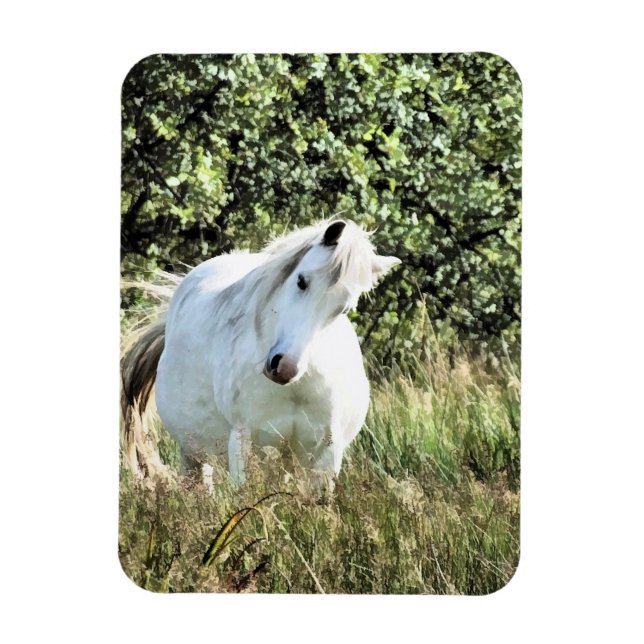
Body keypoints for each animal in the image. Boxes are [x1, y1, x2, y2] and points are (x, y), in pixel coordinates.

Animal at [121, 219, 400, 490]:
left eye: (344, 308)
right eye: (302, 281)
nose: (284, 367)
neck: (297, 388)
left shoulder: (327, 453)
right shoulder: (242, 441)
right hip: (193, 453)